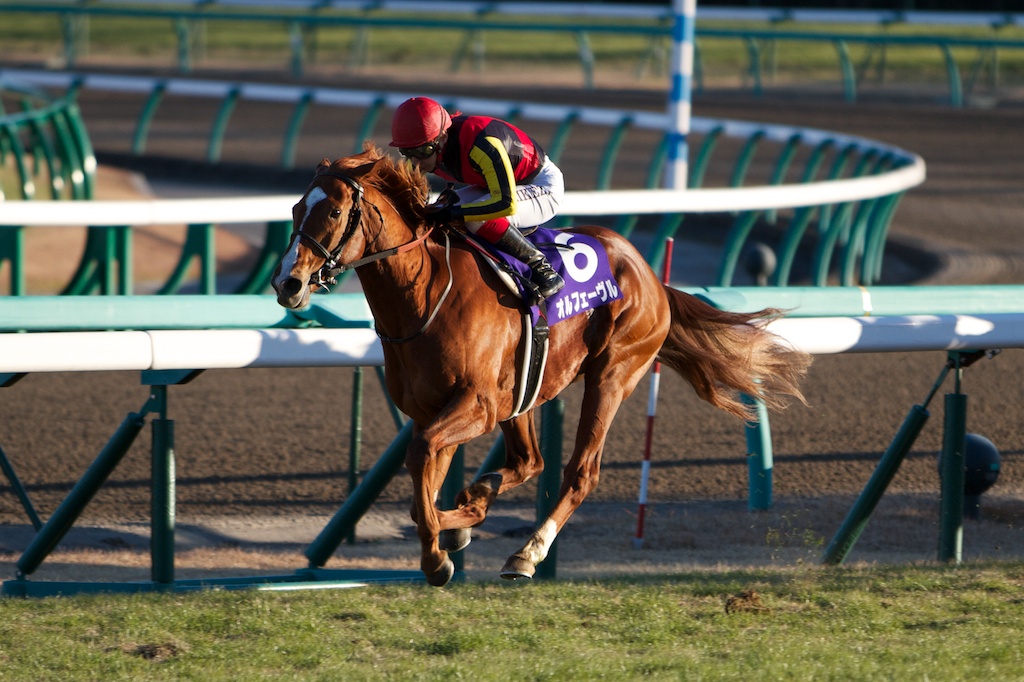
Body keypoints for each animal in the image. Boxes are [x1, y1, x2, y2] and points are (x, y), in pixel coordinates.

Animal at [270, 143, 806, 585]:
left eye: (335, 210)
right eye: (295, 208)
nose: (287, 284)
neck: (424, 296)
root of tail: (653, 276)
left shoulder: (476, 406)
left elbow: (422, 473)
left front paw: (440, 553)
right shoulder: (433, 412)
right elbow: (425, 480)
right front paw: (453, 531)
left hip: (612, 374)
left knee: (580, 472)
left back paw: (526, 553)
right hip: (526, 391)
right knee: (530, 461)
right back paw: (482, 503)